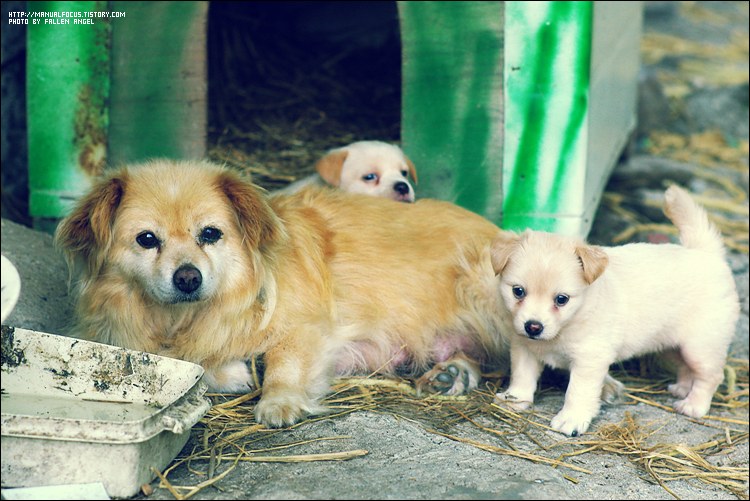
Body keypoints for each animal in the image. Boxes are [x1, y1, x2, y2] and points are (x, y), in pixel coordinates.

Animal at [55, 159, 508, 426]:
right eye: (147, 239)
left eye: (210, 234)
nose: (188, 278)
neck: (188, 318)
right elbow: (196, 365)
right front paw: (233, 371)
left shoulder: (309, 329)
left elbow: (283, 365)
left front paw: (278, 401)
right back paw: (451, 374)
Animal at [494, 186, 740, 436]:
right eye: (518, 291)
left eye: (561, 299)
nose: (533, 327)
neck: (570, 323)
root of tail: (706, 253)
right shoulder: (524, 348)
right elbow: (522, 377)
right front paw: (514, 400)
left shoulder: (589, 361)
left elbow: (577, 392)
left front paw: (570, 419)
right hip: (671, 346)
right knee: (685, 368)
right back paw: (682, 388)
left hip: (701, 347)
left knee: (710, 376)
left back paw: (693, 405)